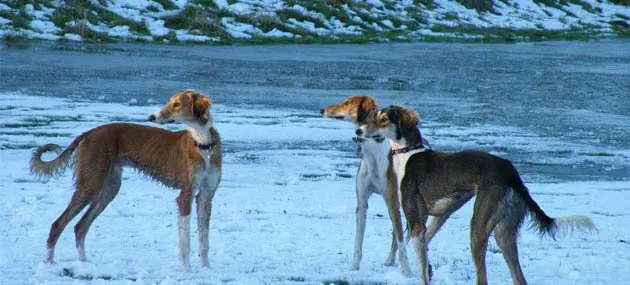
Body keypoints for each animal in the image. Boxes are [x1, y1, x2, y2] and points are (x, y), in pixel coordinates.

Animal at [30, 89, 222, 270]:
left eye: (177, 104)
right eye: (170, 102)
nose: (151, 117)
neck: (203, 144)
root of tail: (88, 133)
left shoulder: (206, 196)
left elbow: (204, 240)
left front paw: (206, 269)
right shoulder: (185, 196)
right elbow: (185, 242)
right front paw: (187, 271)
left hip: (110, 188)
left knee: (80, 226)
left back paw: (83, 263)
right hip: (91, 184)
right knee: (58, 224)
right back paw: (47, 263)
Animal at [358, 105, 600, 284]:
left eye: (383, 120)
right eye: (374, 117)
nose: (358, 132)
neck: (408, 153)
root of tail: (510, 171)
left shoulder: (416, 224)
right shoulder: (436, 216)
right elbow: (425, 253)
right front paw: (429, 269)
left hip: (478, 227)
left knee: (482, 278)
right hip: (504, 233)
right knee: (519, 278)